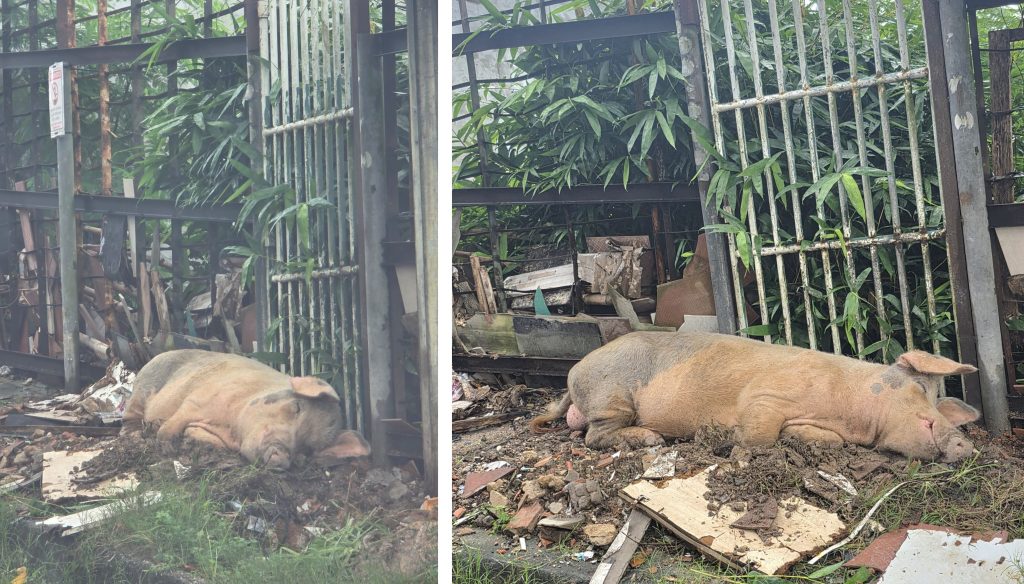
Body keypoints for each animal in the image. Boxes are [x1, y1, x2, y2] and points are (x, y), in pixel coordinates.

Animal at [122, 349, 370, 469]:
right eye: (296, 407)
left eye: (308, 449)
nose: (281, 456)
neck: (230, 427)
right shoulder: (197, 400)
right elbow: (176, 421)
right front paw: (167, 447)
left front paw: (192, 440)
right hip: (142, 387)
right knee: (130, 416)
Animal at [531, 331, 981, 462]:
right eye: (920, 388)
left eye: (940, 401)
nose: (965, 445)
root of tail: (573, 373)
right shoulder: (767, 396)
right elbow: (759, 433)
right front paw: (732, 445)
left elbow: (826, 441)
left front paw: (800, 439)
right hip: (613, 395)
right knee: (594, 436)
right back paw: (652, 439)